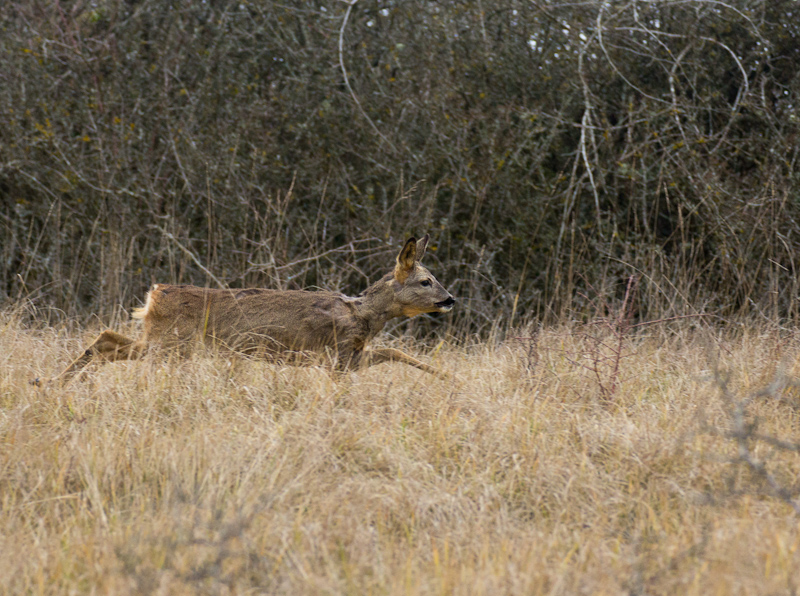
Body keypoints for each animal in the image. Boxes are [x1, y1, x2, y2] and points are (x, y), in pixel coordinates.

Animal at [43, 234, 455, 384]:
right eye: (426, 281)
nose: (450, 299)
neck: (364, 316)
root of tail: (154, 294)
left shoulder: (351, 357)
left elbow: (395, 352)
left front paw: (447, 377)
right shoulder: (336, 357)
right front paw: (449, 378)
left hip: (166, 343)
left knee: (105, 339)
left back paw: (50, 382)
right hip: (172, 344)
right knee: (109, 341)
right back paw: (54, 381)